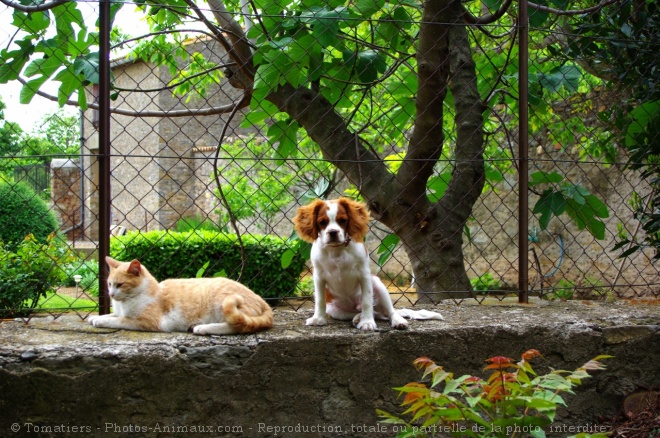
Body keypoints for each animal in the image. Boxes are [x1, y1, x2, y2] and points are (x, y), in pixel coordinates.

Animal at [87, 256, 274, 336]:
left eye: (120, 285)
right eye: (109, 284)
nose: (111, 294)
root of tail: (264, 302)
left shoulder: (147, 321)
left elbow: (119, 320)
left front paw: (100, 321)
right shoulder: (120, 311)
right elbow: (112, 315)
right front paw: (95, 317)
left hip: (222, 302)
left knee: (238, 325)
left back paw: (203, 328)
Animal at [294, 197, 444, 330]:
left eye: (343, 220)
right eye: (322, 222)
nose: (333, 232)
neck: (337, 250)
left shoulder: (364, 275)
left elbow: (367, 301)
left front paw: (367, 323)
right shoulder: (319, 277)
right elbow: (320, 300)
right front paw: (318, 319)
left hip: (377, 284)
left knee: (389, 311)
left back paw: (396, 320)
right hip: (336, 311)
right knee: (368, 313)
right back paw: (357, 317)